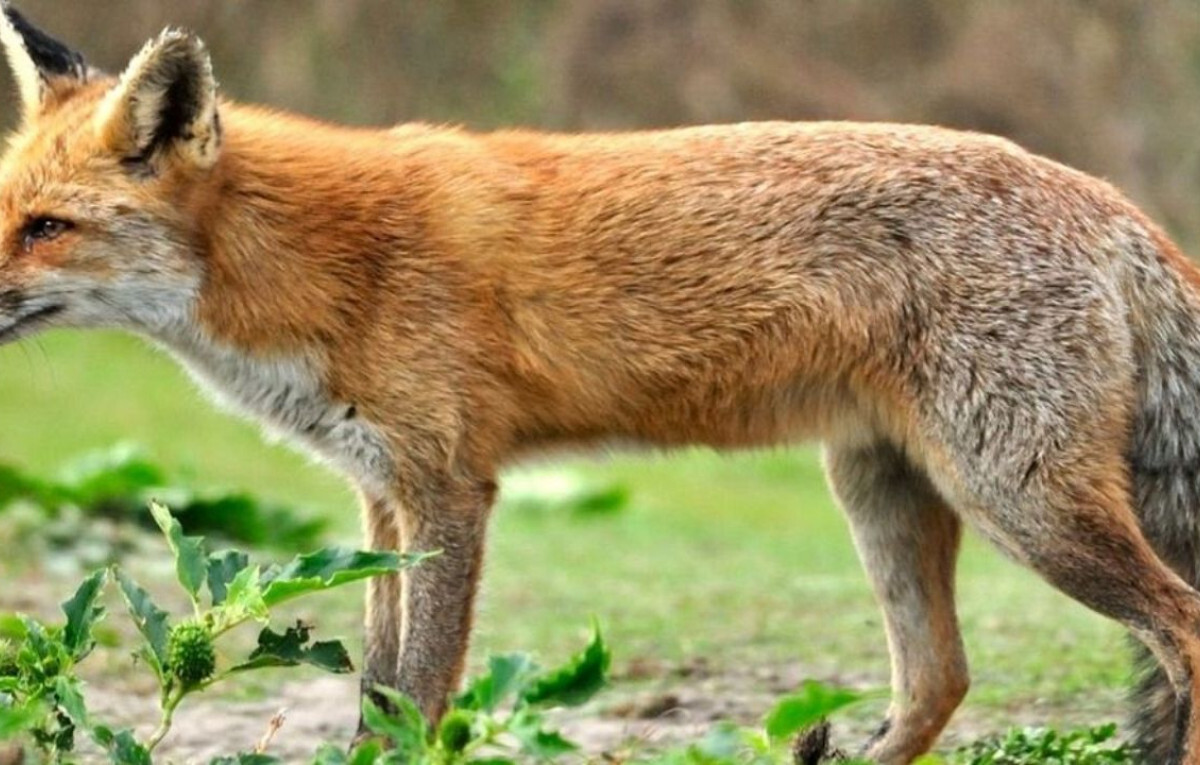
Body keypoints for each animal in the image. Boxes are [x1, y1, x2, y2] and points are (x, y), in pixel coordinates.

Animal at [5, 4, 1200, 764]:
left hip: (1019, 500)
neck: (316, 261)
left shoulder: (449, 492)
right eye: (6, 210)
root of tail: (1119, 207)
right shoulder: (381, 499)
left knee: (1179, 627)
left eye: (47, 227)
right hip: (881, 490)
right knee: (938, 681)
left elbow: (420, 697)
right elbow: (376, 700)